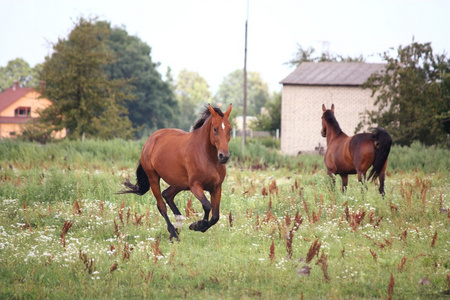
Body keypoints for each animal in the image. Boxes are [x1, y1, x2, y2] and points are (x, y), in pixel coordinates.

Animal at [118, 104, 234, 240]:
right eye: (215, 129)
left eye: (230, 129)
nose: (224, 156)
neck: (207, 156)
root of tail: (151, 139)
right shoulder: (195, 186)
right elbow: (207, 206)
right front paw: (196, 225)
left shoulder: (216, 188)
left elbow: (215, 216)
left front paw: (198, 226)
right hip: (154, 178)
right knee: (161, 205)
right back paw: (173, 233)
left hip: (180, 183)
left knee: (167, 194)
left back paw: (178, 225)